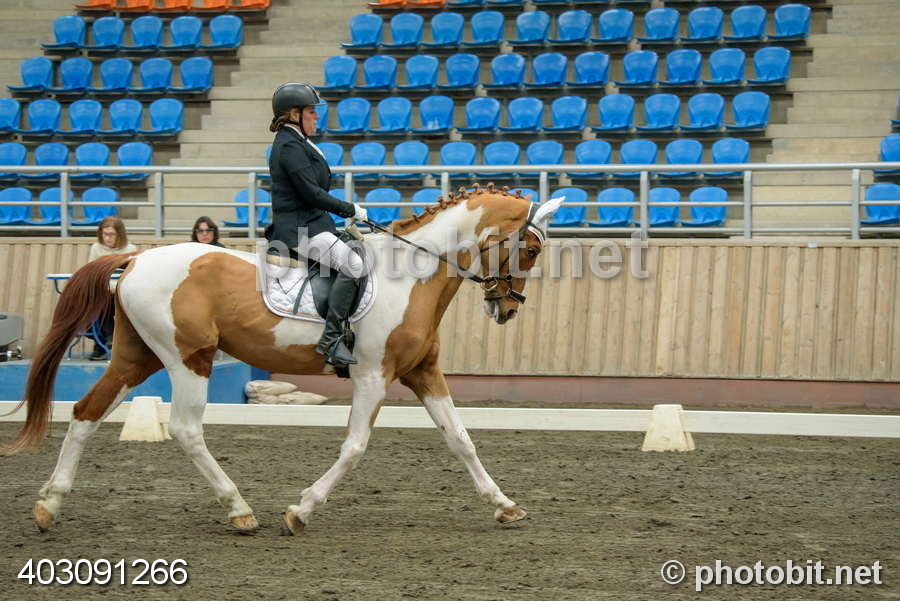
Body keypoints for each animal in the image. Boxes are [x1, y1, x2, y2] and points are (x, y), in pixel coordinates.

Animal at [2, 186, 563, 535]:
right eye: (531, 250)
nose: (508, 308)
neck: (411, 274)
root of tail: (136, 256)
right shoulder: (373, 376)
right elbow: (355, 447)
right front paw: (300, 511)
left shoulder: (422, 372)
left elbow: (461, 439)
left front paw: (505, 506)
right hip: (188, 358)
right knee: (185, 428)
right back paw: (240, 511)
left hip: (135, 358)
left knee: (86, 413)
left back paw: (49, 506)